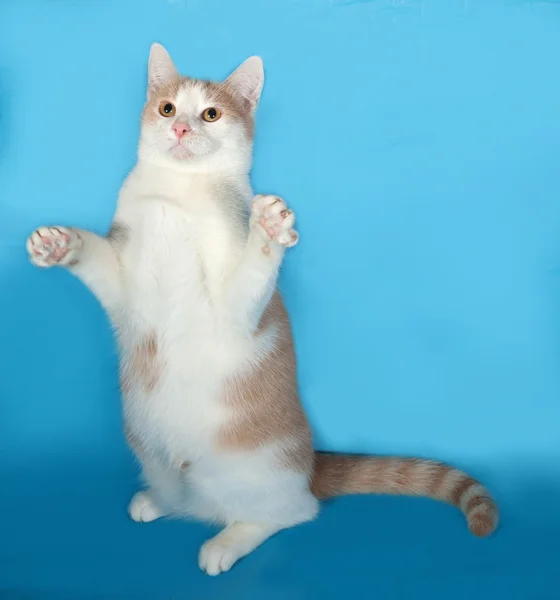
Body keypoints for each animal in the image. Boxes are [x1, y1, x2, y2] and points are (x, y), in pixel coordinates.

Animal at [26, 44, 498, 576]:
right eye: (168, 108)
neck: (180, 194)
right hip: (151, 453)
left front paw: (269, 228)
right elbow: (98, 261)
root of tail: (310, 466)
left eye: (210, 114)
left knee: (291, 512)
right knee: (190, 499)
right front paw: (58, 243)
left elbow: (252, 275)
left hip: (255, 472)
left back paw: (227, 541)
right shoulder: (125, 285)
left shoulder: (234, 307)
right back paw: (159, 501)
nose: (181, 128)